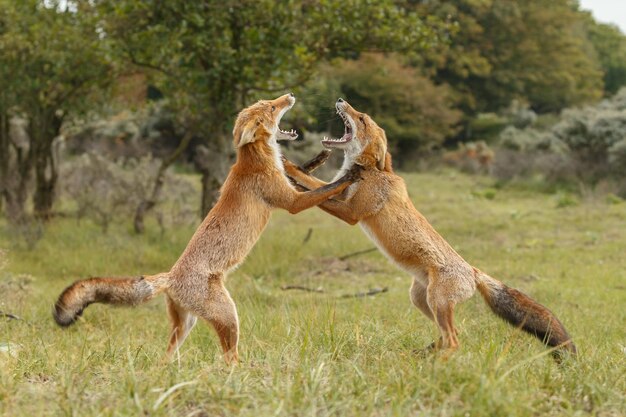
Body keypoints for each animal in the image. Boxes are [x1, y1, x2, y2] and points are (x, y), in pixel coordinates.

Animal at [53, 93, 360, 360]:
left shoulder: (288, 185)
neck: (255, 158)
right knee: (228, 357)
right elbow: (324, 190)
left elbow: (303, 172)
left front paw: (317, 159)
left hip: (185, 325)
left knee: (166, 356)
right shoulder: (291, 202)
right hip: (229, 317)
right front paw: (350, 175)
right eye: (272, 107)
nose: (290, 95)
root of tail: (171, 276)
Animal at [282, 98, 576, 358]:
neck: (374, 171)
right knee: (450, 336)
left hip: (438, 302)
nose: (342, 100)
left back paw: (437, 363)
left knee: (455, 340)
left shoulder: (351, 212)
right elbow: (314, 186)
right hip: (421, 300)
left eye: (362, 118)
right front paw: (292, 170)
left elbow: (316, 189)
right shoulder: (343, 198)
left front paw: (288, 167)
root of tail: (472, 271)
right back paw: (422, 356)